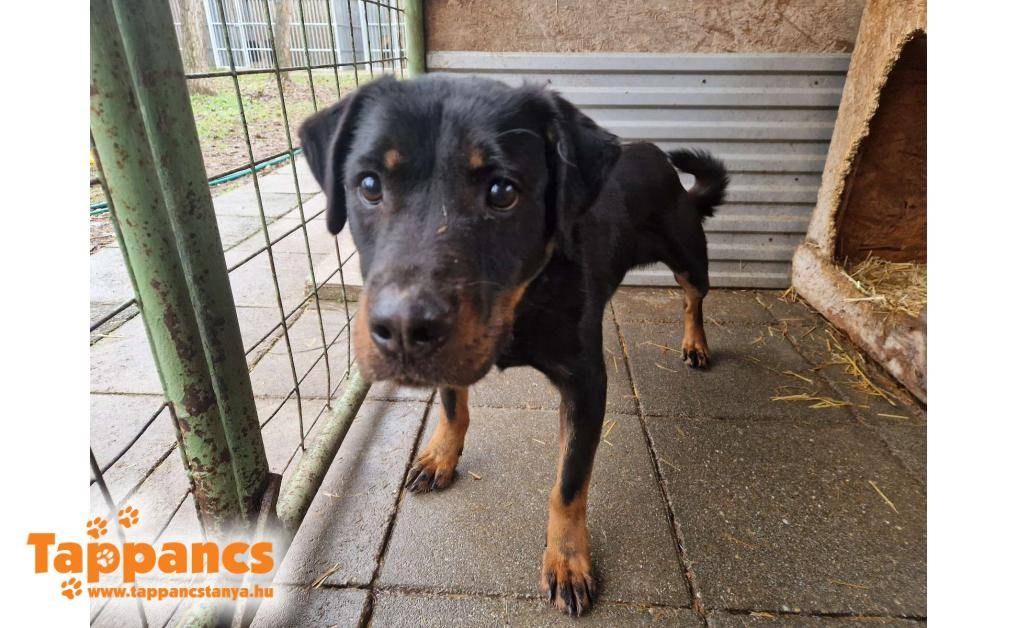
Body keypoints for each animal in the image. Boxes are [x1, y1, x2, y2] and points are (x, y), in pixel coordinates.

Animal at [299, 74, 728, 616]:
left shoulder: (585, 384)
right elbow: (454, 406)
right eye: (369, 184)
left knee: (693, 298)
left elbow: (569, 484)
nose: (402, 330)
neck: (523, 300)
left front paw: (567, 561)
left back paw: (696, 343)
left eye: (502, 191)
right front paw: (441, 455)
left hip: (690, 257)